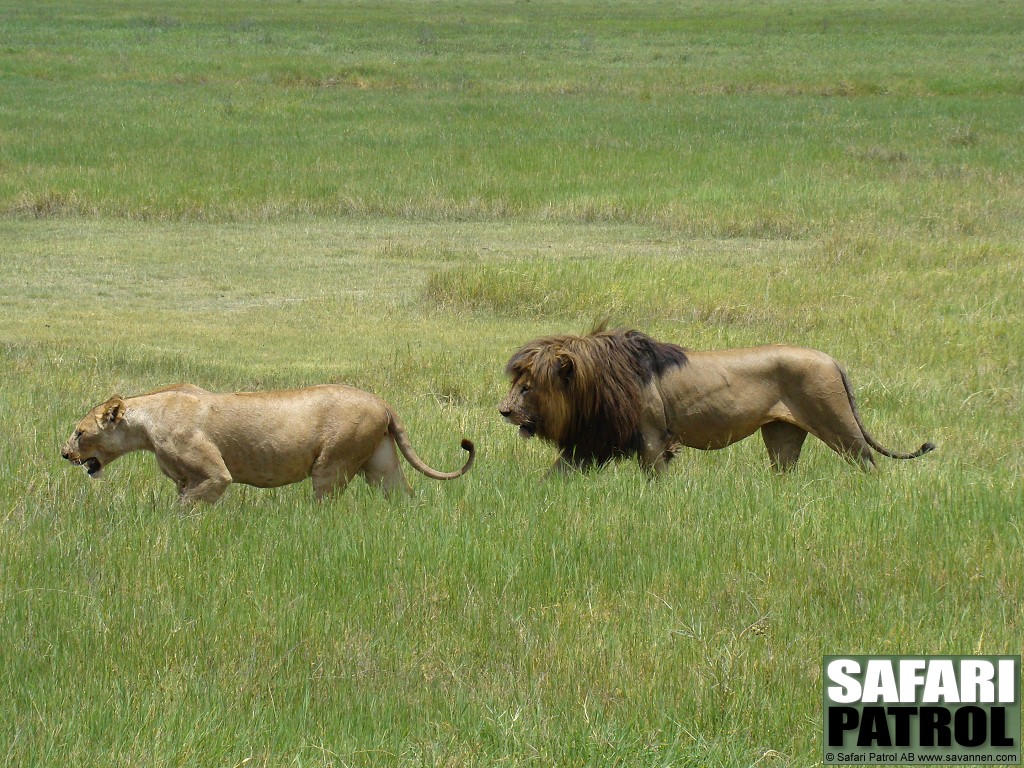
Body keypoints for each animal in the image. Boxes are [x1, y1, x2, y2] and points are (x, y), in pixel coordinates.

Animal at [62, 385, 475, 505]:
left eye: (79, 433)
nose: (64, 453)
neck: (146, 425)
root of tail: (380, 401)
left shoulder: (214, 475)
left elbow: (183, 511)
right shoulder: (186, 480)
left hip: (332, 466)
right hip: (382, 465)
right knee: (404, 495)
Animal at [497, 329, 937, 475]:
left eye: (528, 387)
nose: (503, 410)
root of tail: (832, 359)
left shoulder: (653, 438)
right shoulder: (589, 444)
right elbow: (556, 476)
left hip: (836, 422)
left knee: (868, 461)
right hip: (781, 435)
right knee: (785, 471)